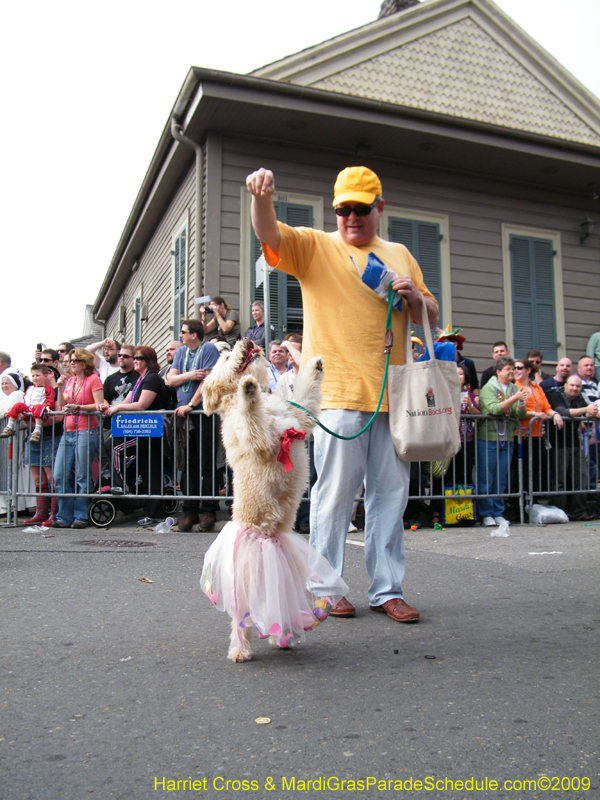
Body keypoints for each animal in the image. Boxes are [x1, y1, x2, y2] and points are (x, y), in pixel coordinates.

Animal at [200, 340, 346, 664]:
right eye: (226, 358)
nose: (247, 342)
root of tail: (263, 537)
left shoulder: (301, 417)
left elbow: (306, 397)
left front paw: (314, 365)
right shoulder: (256, 437)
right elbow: (250, 415)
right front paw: (248, 387)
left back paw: (283, 636)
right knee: (241, 619)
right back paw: (240, 650)